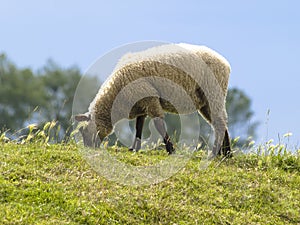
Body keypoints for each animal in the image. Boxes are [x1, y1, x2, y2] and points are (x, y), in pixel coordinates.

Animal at [75, 43, 232, 156]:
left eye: (84, 130)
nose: (89, 148)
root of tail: (225, 63)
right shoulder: (141, 102)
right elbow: (139, 126)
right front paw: (134, 148)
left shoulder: (150, 98)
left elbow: (159, 125)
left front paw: (170, 150)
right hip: (205, 101)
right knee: (221, 122)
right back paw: (226, 153)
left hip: (213, 92)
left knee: (220, 122)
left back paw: (215, 154)